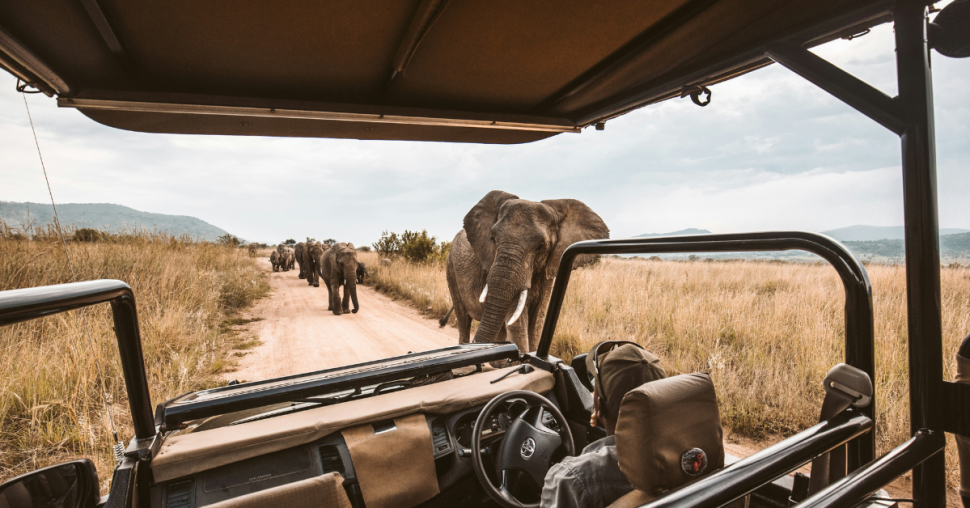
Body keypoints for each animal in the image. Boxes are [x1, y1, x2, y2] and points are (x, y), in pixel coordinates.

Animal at [442, 190, 608, 354]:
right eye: (493, 238)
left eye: (541, 245)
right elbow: (517, 327)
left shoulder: (548, 271)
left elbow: (536, 323)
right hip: (451, 269)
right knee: (464, 320)